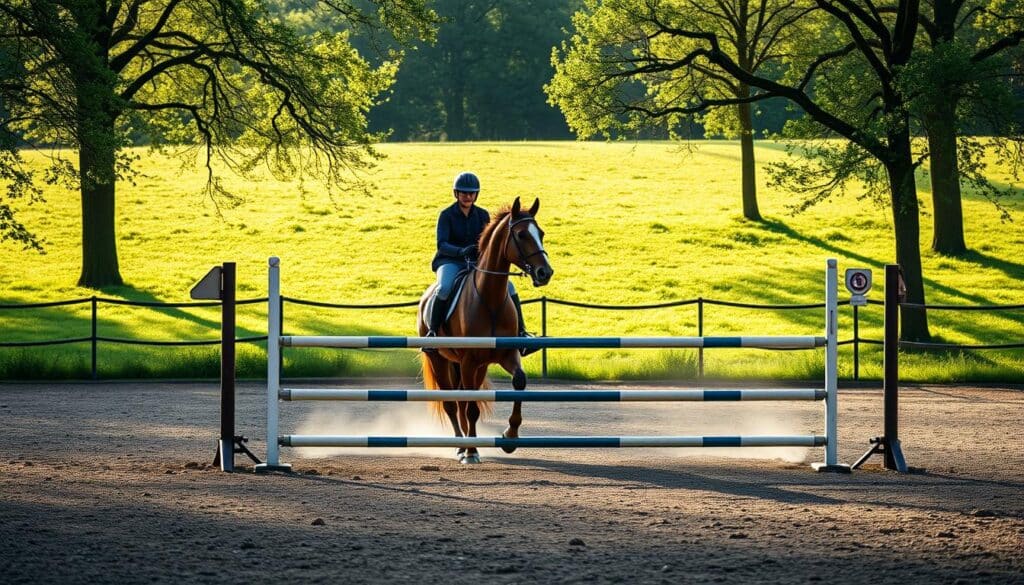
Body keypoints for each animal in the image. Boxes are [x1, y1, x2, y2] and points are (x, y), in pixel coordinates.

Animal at [417, 196, 552, 463]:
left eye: (540, 233)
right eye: (521, 235)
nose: (545, 273)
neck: (490, 299)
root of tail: (426, 297)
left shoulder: (505, 355)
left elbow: (519, 383)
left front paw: (510, 436)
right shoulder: (469, 360)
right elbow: (470, 408)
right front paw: (471, 452)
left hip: (477, 367)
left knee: (462, 399)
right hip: (441, 360)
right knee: (452, 403)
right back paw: (461, 446)